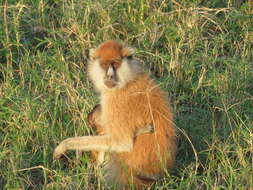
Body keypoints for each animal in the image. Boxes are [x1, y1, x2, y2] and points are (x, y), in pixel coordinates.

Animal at [52, 40, 176, 189]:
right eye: (105, 65)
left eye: (116, 64)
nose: (110, 76)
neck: (128, 80)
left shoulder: (114, 100)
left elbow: (122, 143)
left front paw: (65, 145)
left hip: (124, 177)